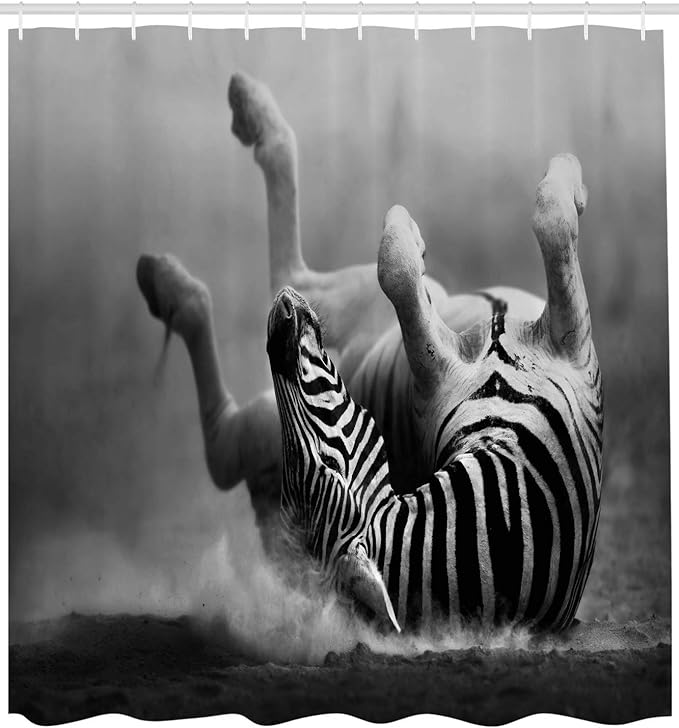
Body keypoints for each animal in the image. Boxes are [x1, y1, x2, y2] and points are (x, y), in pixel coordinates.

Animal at [136, 72, 603, 628]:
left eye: (326, 459)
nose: (281, 331)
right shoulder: (450, 368)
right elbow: (405, 267)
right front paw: (409, 229)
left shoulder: (572, 348)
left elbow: (547, 225)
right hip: (336, 315)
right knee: (284, 284)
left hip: (320, 333)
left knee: (258, 352)